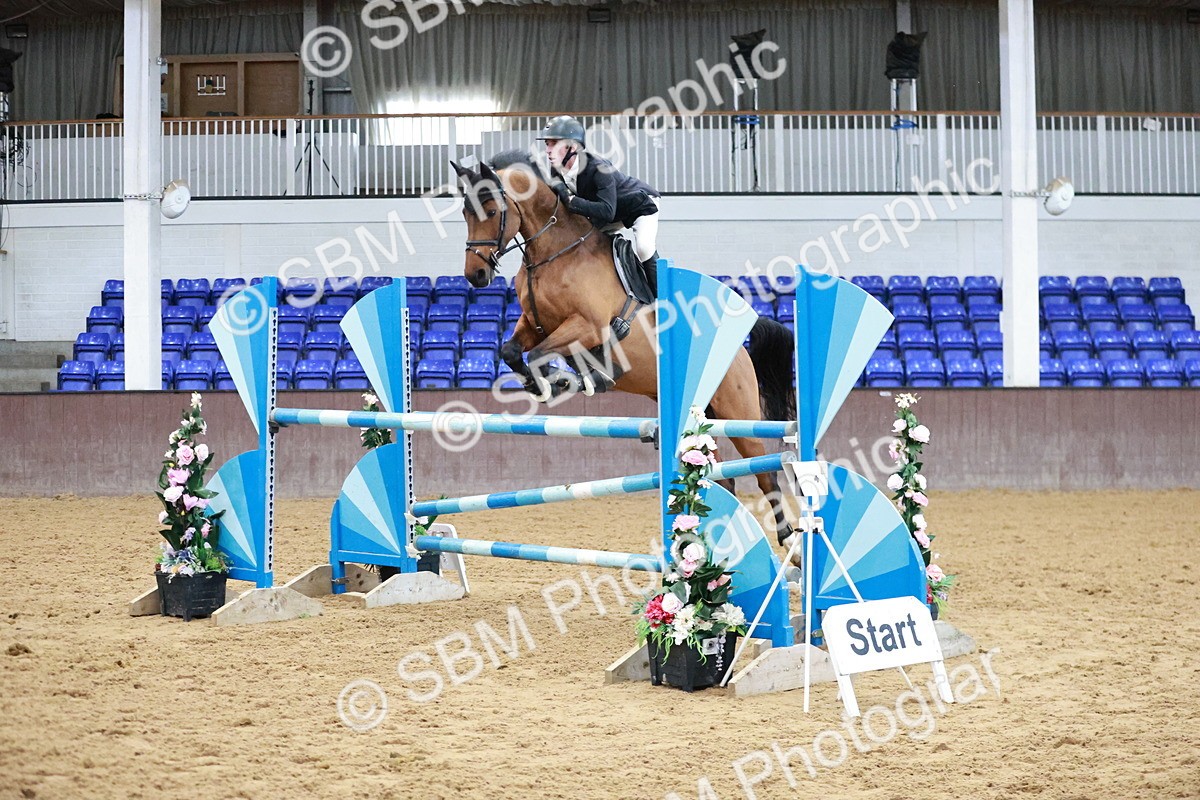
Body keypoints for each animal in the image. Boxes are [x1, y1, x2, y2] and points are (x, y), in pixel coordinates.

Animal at [450, 154, 799, 551]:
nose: (475, 275)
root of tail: (738, 347)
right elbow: (512, 351)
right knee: (721, 478)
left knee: (765, 475)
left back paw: (789, 543)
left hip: (736, 411)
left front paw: (562, 381)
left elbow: (540, 355)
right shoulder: (532, 324)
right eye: (465, 212)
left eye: (493, 210)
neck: (554, 253)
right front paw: (544, 384)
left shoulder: (586, 326)